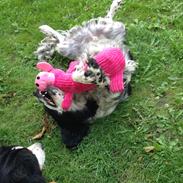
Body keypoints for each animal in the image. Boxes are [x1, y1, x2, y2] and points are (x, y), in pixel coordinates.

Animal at [33, 0, 137, 149]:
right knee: (61, 39)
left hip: (107, 31)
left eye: (48, 101)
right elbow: (103, 81)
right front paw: (89, 74)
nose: (36, 91)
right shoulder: (113, 92)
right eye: (51, 109)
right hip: (68, 46)